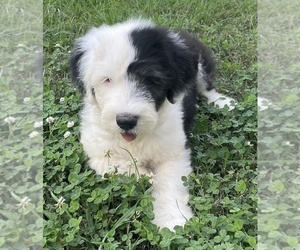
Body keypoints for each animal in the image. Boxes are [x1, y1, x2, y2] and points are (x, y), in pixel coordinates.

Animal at [70, 19, 234, 230]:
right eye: (107, 79)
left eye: (151, 79)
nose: (126, 121)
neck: (136, 140)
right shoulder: (98, 152)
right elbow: (116, 167)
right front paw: (145, 175)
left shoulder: (172, 153)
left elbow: (168, 184)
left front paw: (172, 220)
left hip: (200, 62)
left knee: (207, 87)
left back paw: (224, 102)